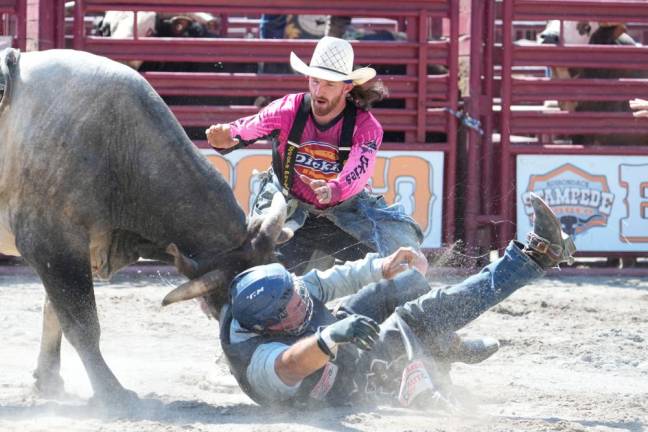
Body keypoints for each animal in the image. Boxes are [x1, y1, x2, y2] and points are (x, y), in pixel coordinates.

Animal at [0, 49, 292, 406]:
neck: (114, 142)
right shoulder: (53, 245)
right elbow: (81, 323)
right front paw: (111, 391)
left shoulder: (74, 250)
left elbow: (53, 312)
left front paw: (49, 380)